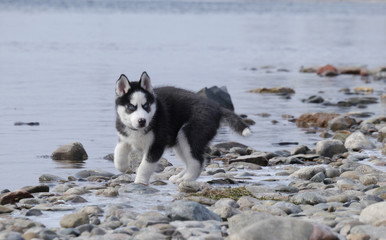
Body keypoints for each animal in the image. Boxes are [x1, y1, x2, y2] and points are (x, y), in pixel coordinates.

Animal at [113, 72, 250, 185]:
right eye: (131, 107)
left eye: (146, 106)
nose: (142, 121)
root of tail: (217, 107)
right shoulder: (125, 138)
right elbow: (118, 151)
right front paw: (123, 166)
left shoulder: (156, 145)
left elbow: (144, 166)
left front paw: (140, 181)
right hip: (179, 142)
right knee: (191, 162)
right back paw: (179, 177)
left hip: (188, 135)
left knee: (197, 162)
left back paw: (186, 179)